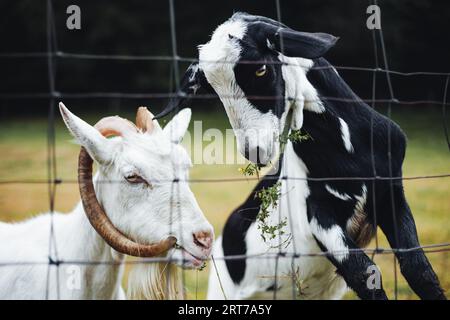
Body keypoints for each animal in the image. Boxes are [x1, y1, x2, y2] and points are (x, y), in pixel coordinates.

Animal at [156, 11, 444, 298]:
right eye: (214, 88)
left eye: (261, 69)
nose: (254, 149)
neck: (350, 154)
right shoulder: (316, 212)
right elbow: (364, 272)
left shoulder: (391, 192)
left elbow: (418, 269)